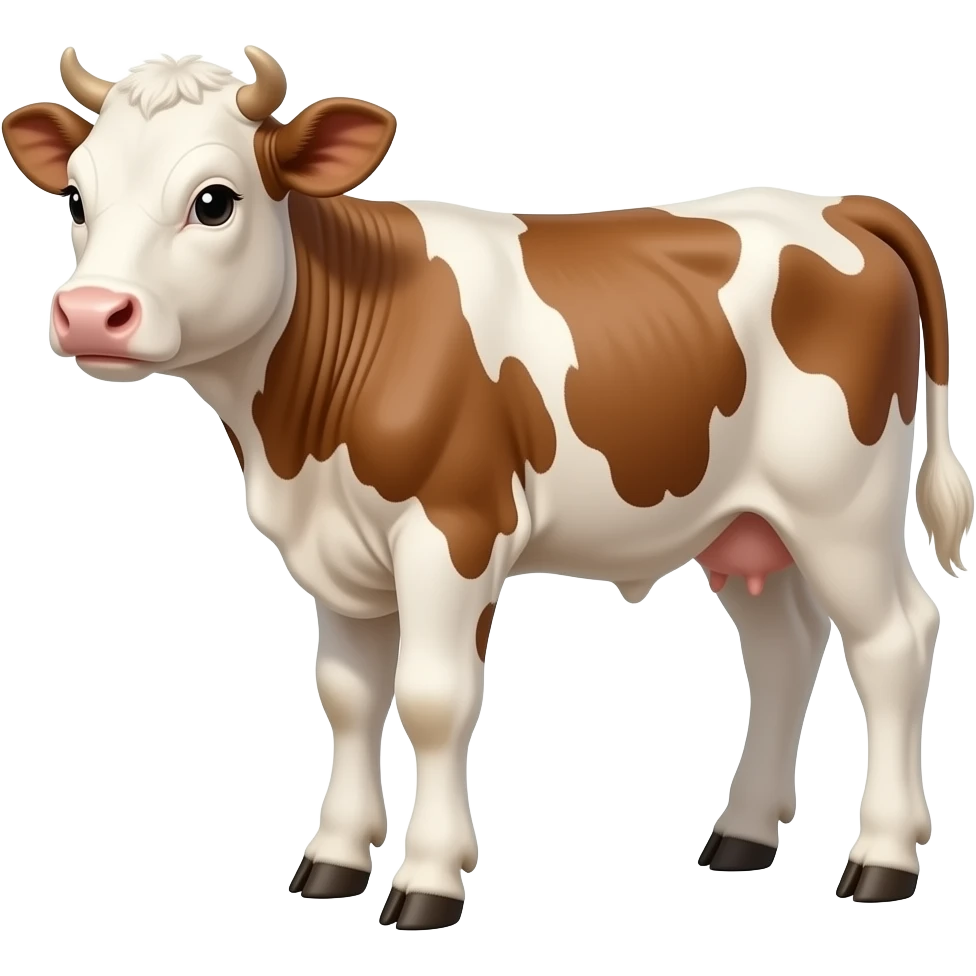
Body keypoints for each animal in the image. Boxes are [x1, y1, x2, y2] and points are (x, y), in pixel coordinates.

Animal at [3, 46, 971, 924]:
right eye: (77, 199)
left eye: (214, 201)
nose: (90, 314)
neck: (294, 440)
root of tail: (835, 204)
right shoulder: (337, 550)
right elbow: (348, 697)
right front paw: (333, 861)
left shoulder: (455, 527)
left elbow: (433, 699)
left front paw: (428, 880)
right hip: (743, 521)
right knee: (783, 648)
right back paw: (742, 836)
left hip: (843, 508)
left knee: (893, 641)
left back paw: (883, 860)